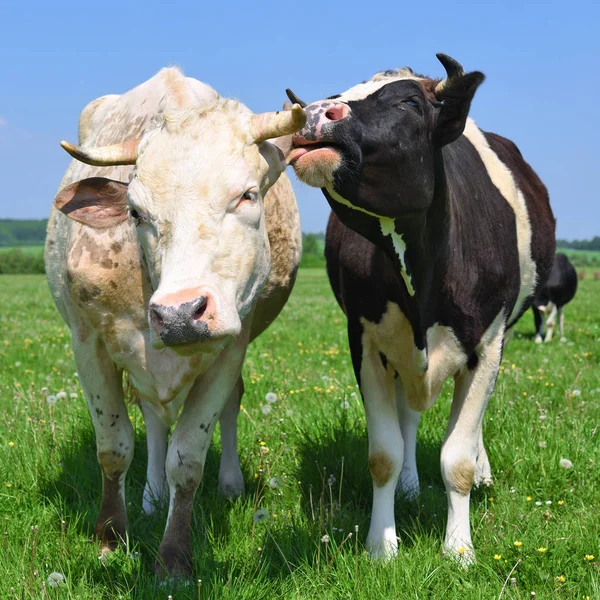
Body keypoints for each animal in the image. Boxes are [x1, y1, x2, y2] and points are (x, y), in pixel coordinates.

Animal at [45, 67, 304, 576]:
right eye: (135, 212)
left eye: (247, 195)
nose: (180, 313)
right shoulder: (88, 342)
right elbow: (114, 446)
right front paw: (110, 537)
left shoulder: (229, 348)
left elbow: (187, 457)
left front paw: (173, 558)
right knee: (151, 415)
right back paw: (151, 497)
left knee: (228, 406)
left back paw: (228, 485)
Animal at [288, 55, 556, 564]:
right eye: (335, 93)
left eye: (411, 103)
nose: (312, 115)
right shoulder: (365, 342)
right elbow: (384, 454)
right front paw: (381, 544)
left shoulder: (488, 345)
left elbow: (458, 458)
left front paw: (460, 549)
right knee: (408, 417)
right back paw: (411, 487)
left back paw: (482, 472)